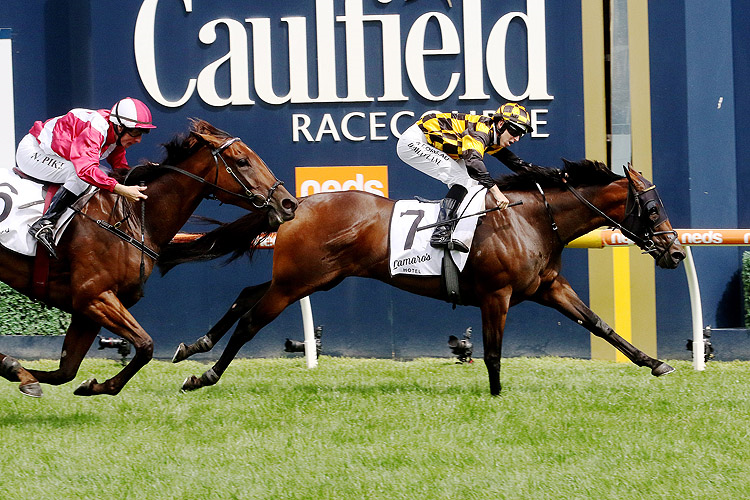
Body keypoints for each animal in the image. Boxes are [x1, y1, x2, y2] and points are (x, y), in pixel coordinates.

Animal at [0, 119, 300, 396]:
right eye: (242, 161)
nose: (289, 203)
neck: (130, 218)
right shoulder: (94, 296)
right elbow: (146, 346)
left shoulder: (87, 308)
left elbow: (66, 371)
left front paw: (74, 382)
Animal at [163, 160, 688, 394]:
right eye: (652, 209)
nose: (677, 251)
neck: (531, 219)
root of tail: (298, 203)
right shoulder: (496, 294)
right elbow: (492, 351)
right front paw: (496, 397)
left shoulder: (548, 288)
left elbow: (600, 325)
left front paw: (655, 363)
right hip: (299, 281)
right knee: (252, 321)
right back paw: (203, 375)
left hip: (308, 278)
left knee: (248, 292)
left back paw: (194, 345)